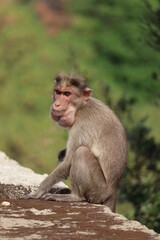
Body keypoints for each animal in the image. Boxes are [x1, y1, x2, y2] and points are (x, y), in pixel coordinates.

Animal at [25, 71, 127, 212]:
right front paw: (61, 153)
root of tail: (113, 191)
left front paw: (39, 191)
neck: (80, 107)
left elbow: (68, 162)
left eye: (67, 94)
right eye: (58, 92)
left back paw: (74, 197)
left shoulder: (81, 125)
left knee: (81, 152)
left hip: (99, 191)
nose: (57, 104)